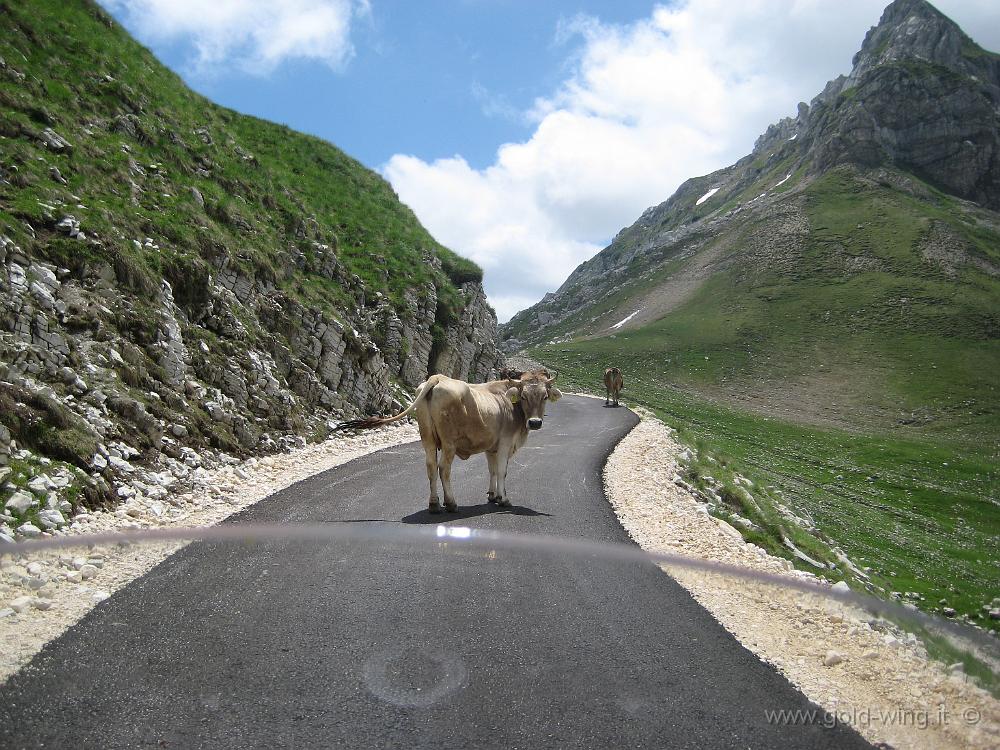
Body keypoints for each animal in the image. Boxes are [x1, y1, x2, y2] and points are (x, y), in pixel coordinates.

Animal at [338, 372, 564, 516]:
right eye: (524, 396)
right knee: (443, 469)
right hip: (449, 443)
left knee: (430, 467)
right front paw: (504, 499)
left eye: (544, 396)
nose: (535, 422)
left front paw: (492, 495)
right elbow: (501, 471)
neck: (511, 405)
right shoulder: (505, 444)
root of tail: (438, 377)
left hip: (427, 438)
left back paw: (434, 504)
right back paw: (451, 503)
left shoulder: (491, 446)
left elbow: (491, 470)